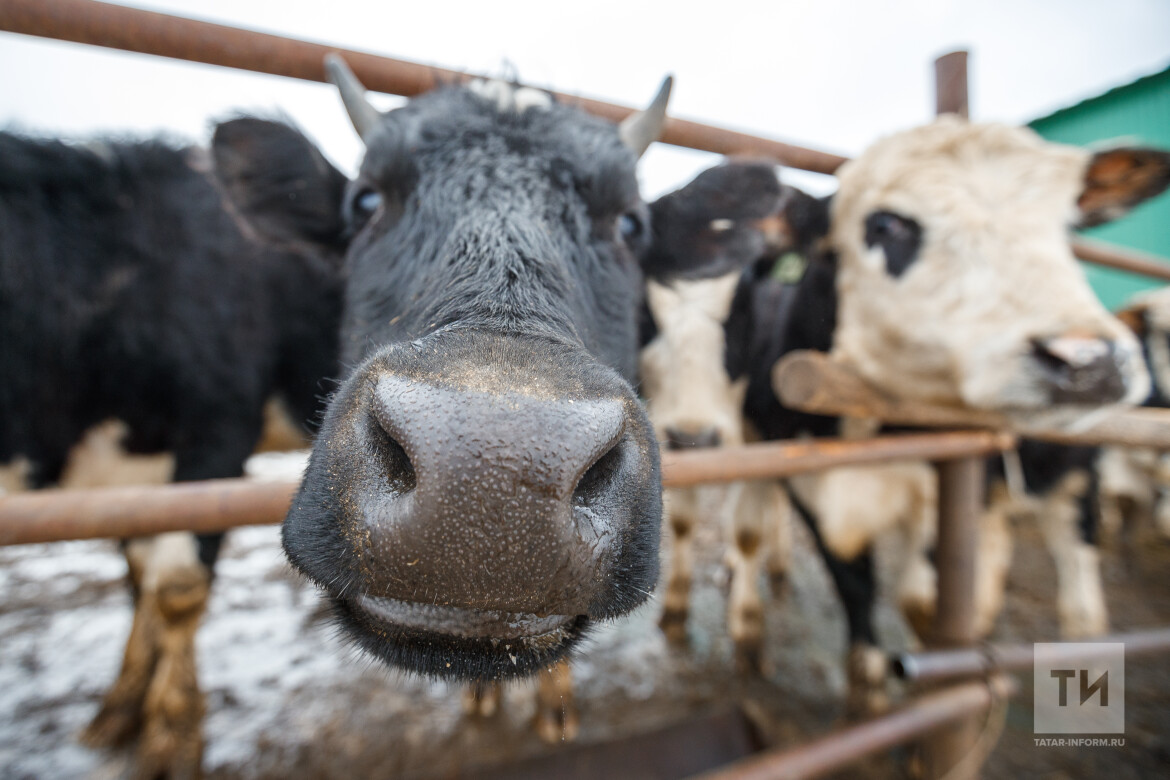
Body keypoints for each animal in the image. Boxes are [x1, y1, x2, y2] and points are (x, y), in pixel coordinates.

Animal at [0, 125, 343, 776]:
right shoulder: (132, 482)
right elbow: (140, 579)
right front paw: (119, 711)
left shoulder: (216, 437)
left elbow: (177, 589)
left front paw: (171, 740)